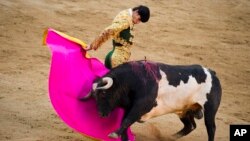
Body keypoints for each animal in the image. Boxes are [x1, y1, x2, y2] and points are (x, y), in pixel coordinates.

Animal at [81, 60, 221, 141]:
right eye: (94, 97)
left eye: (104, 93)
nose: (101, 114)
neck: (132, 80)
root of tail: (211, 72)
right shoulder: (130, 108)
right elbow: (124, 123)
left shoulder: (142, 106)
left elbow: (126, 121)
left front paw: (114, 134)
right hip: (184, 110)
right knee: (190, 126)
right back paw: (169, 138)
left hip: (210, 109)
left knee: (211, 127)